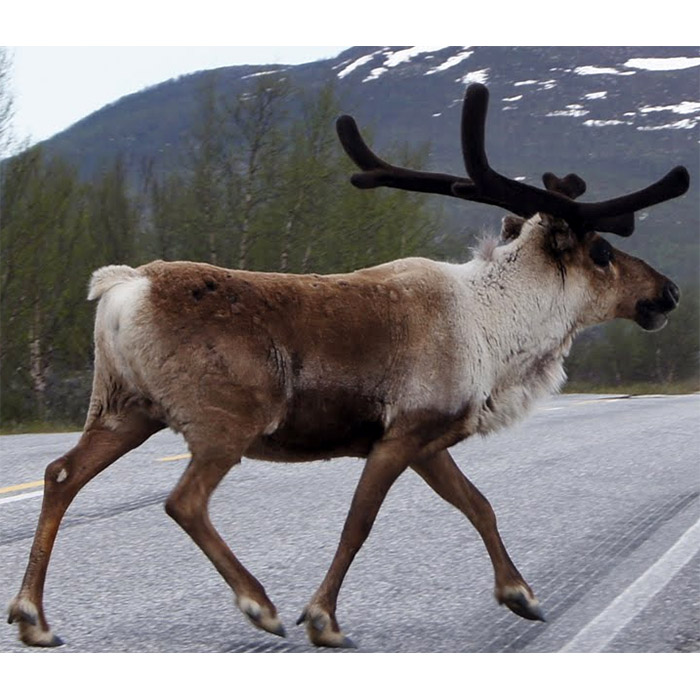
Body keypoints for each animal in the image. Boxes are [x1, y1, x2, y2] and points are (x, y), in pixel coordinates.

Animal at [7, 83, 688, 650]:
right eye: (602, 252)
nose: (670, 290)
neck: (496, 331)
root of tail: (121, 287)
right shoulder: (401, 433)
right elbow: (359, 523)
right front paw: (323, 618)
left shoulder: (430, 440)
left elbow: (479, 505)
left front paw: (521, 595)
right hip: (224, 420)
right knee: (183, 500)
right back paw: (260, 606)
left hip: (125, 408)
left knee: (61, 474)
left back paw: (33, 617)